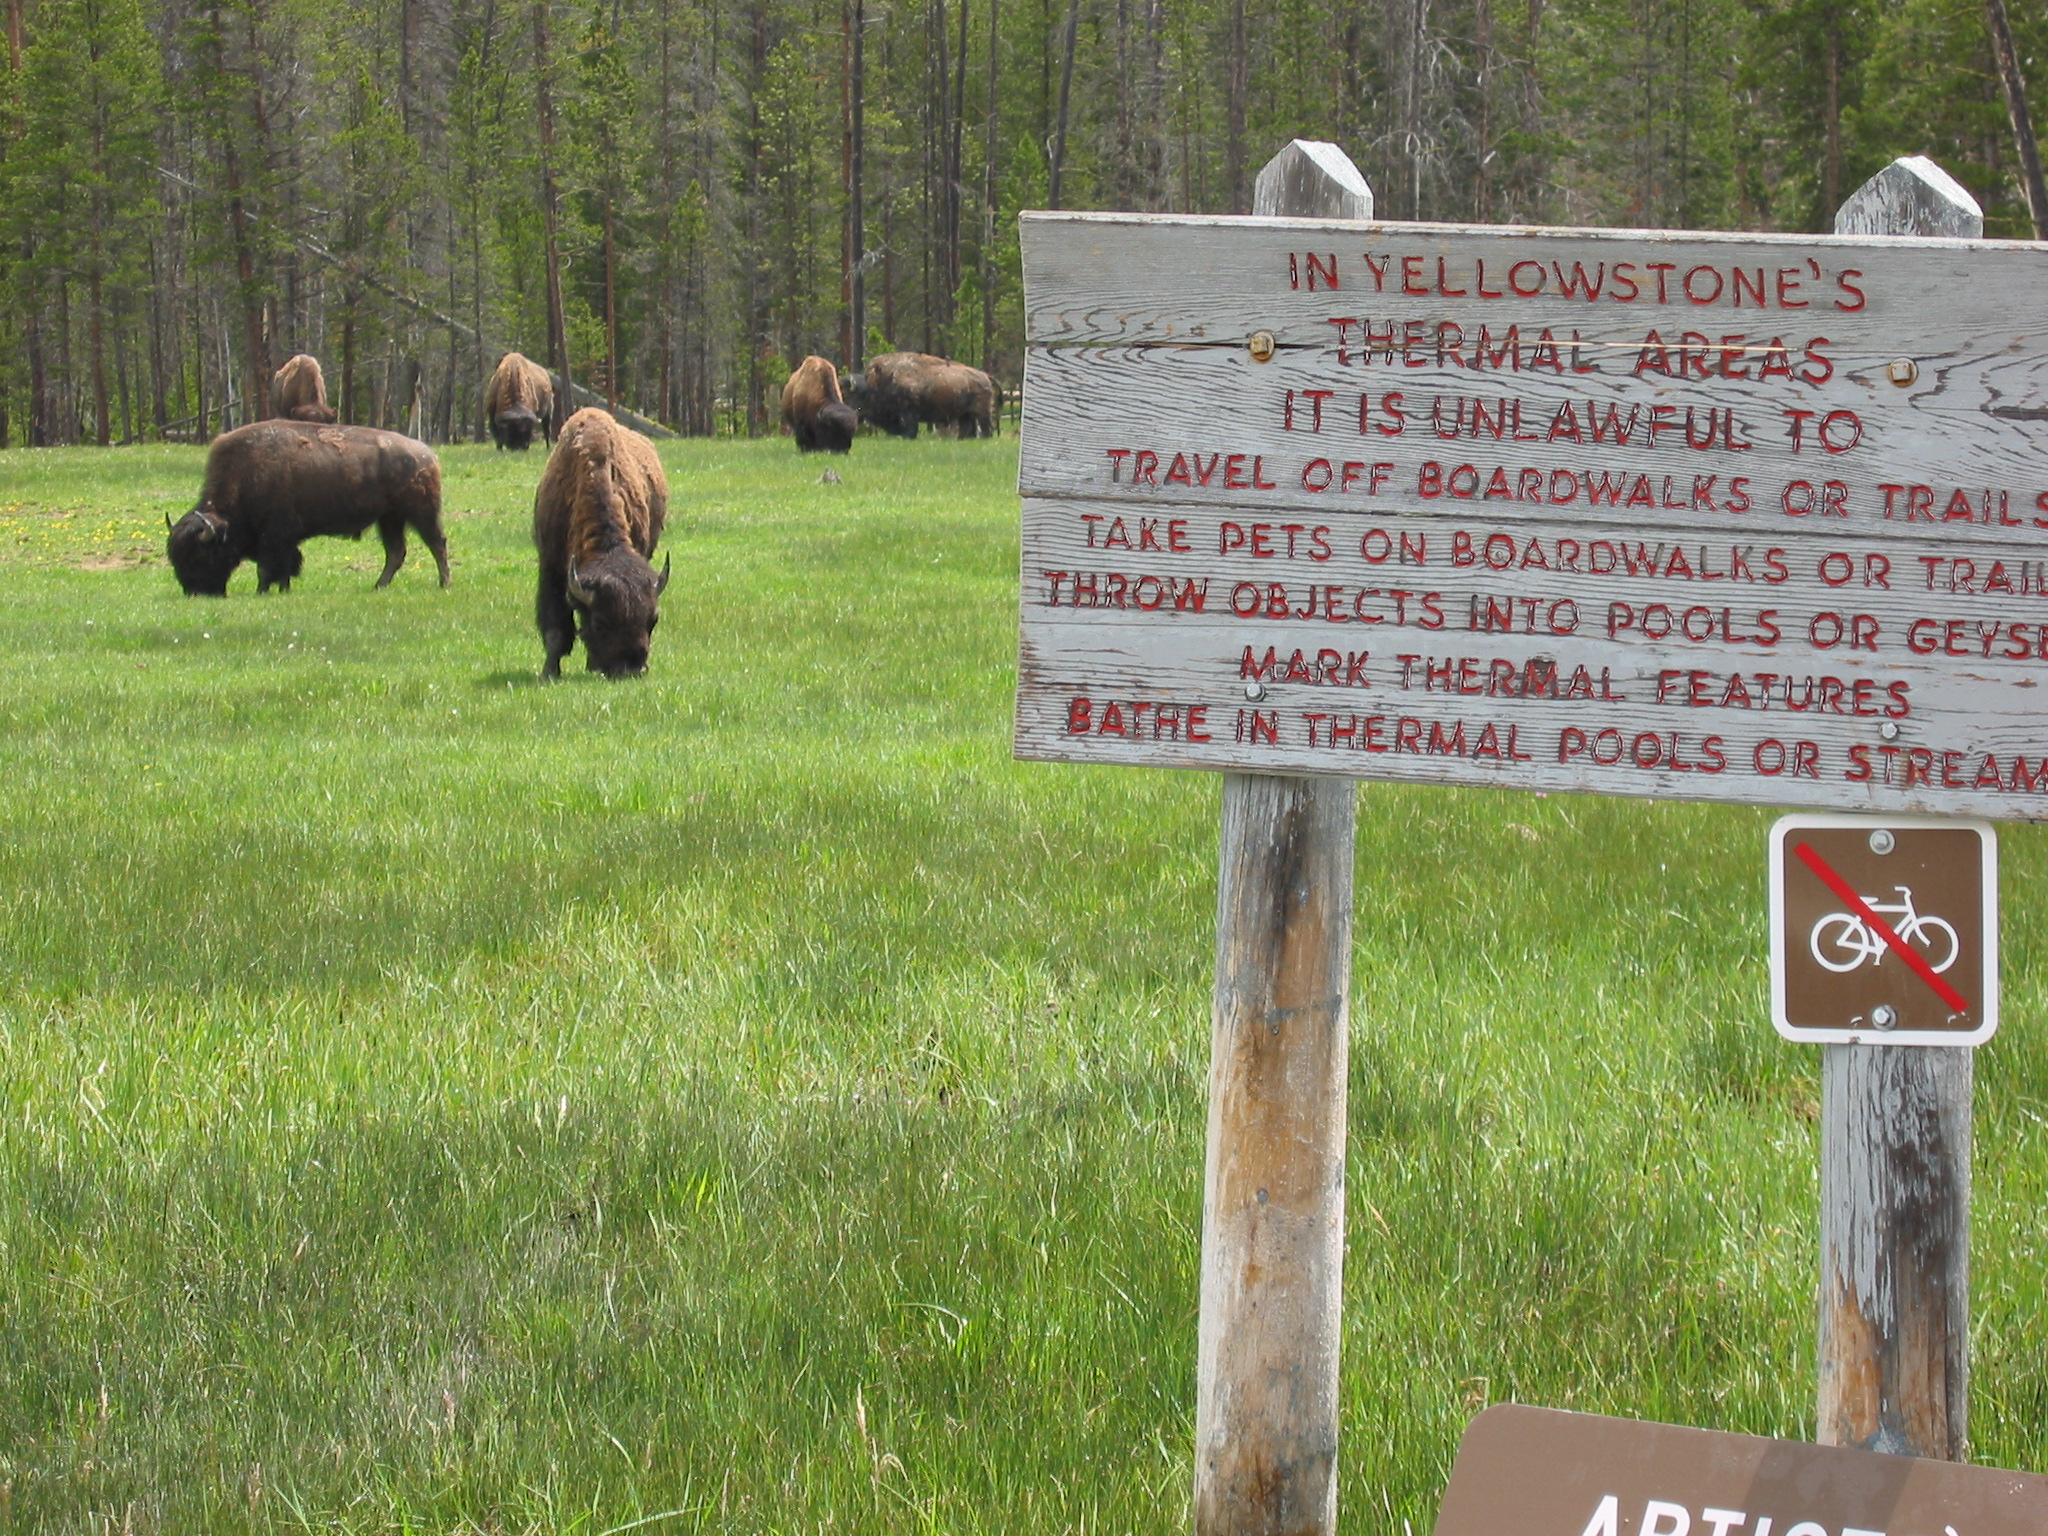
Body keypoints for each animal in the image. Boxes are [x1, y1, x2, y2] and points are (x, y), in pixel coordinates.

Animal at [166, 421, 449, 596]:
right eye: (175, 558)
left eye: (200, 556)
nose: (195, 592)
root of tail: (427, 454)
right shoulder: (284, 541)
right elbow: (284, 567)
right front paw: (283, 589)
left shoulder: (275, 537)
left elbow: (268, 568)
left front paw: (262, 591)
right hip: (390, 518)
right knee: (396, 552)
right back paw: (378, 586)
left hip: (421, 514)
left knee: (437, 544)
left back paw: (444, 583)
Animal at [533, 408, 670, 679]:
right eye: (599, 622)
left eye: (653, 619)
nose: (631, 668)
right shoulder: (550, 567)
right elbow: (555, 628)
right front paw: (549, 673)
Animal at [844, 351, 997, 439]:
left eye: (849, 397)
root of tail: (986, 376)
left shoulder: (908, 412)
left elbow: (911, 427)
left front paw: (908, 437)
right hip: (966, 414)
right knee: (968, 428)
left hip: (982, 412)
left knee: (986, 428)